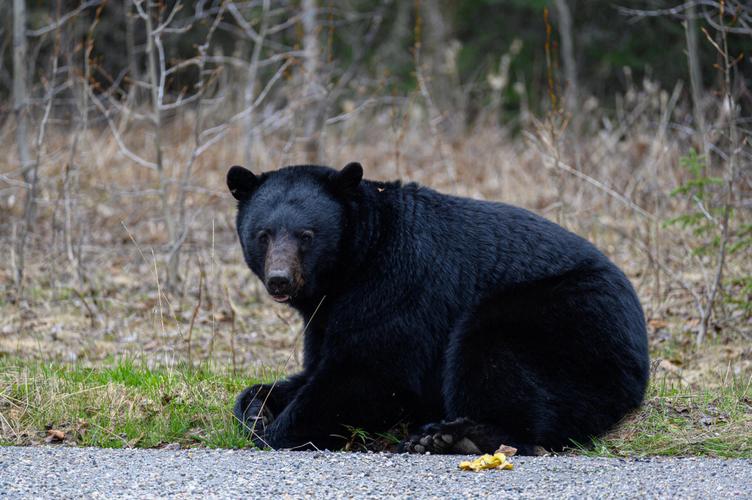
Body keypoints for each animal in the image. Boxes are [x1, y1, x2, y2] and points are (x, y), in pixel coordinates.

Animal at [226, 162, 648, 456]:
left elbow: (370, 372)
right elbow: (314, 368)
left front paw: (277, 431)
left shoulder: (397, 287)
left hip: (564, 321)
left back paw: (452, 437)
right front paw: (257, 409)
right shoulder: (324, 315)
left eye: (306, 235)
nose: (280, 280)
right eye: (263, 234)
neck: (357, 261)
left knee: (494, 359)